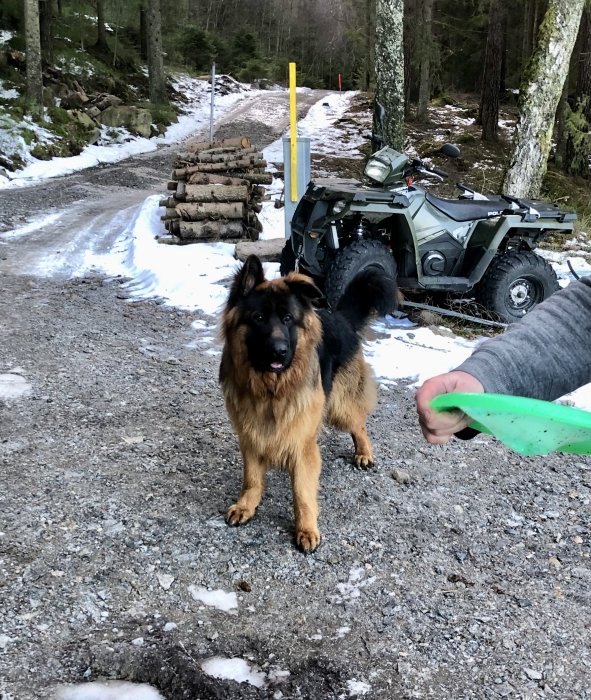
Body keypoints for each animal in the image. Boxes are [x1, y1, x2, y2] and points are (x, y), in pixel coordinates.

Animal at [220, 254, 396, 548]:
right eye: (258, 318)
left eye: (288, 318)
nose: (279, 351)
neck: (272, 391)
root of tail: (339, 316)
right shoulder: (250, 434)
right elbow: (252, 478)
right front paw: (246, 505)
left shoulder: (303, 443)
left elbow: (302, 491)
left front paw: (306, 529)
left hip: (338, 406)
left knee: (358, 423)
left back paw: (364, 452)